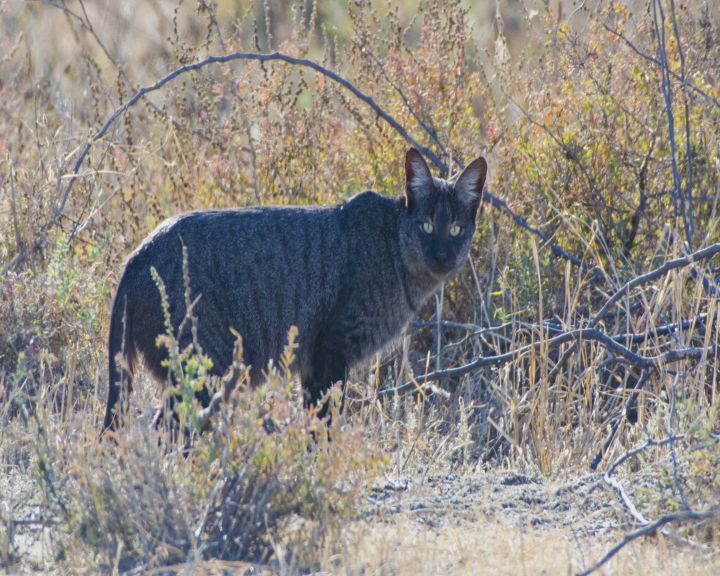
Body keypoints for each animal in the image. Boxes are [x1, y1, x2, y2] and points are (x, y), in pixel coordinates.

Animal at [102, 148, 484, 432]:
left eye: (455, 229)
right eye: (426, 226)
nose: (442, 256)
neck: (392, 242)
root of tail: (138, 254)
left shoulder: (313, 365)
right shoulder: (331, 351)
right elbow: (325, 422)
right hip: (204, 370)